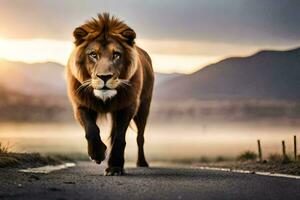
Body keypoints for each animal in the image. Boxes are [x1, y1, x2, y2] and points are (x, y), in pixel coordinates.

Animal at [66, 12, 155, 175]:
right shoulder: (81, 104)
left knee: (140, 137)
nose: (105, 77)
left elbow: (119, 137)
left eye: (116, 55)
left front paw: (114, 167)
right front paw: (97, 154)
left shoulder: (128, 105)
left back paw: (142, 163)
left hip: (144, 107)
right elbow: (91, 129)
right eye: (93, 54)